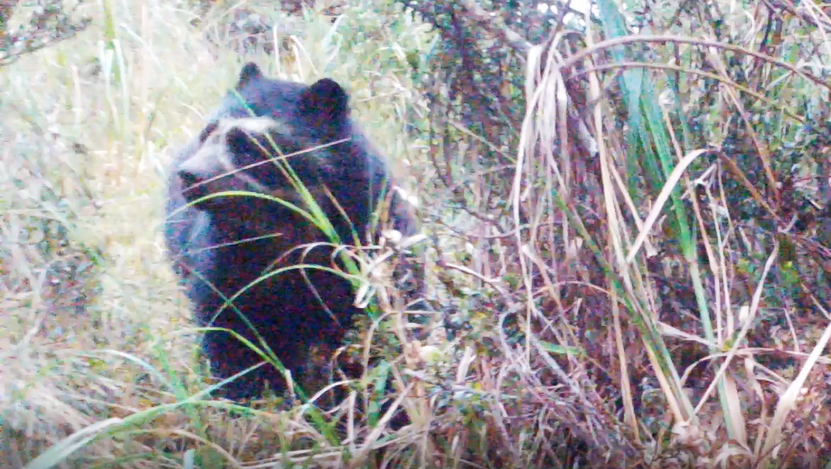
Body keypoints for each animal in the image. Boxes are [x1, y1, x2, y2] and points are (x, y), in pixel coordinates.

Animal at [163, 63, 422, 402]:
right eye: (207, 133)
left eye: (247, 145)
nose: (190, 175)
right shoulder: (226, 261)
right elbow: (230, 333)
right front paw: (248, 396)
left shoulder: (371, 237)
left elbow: (385, 319)